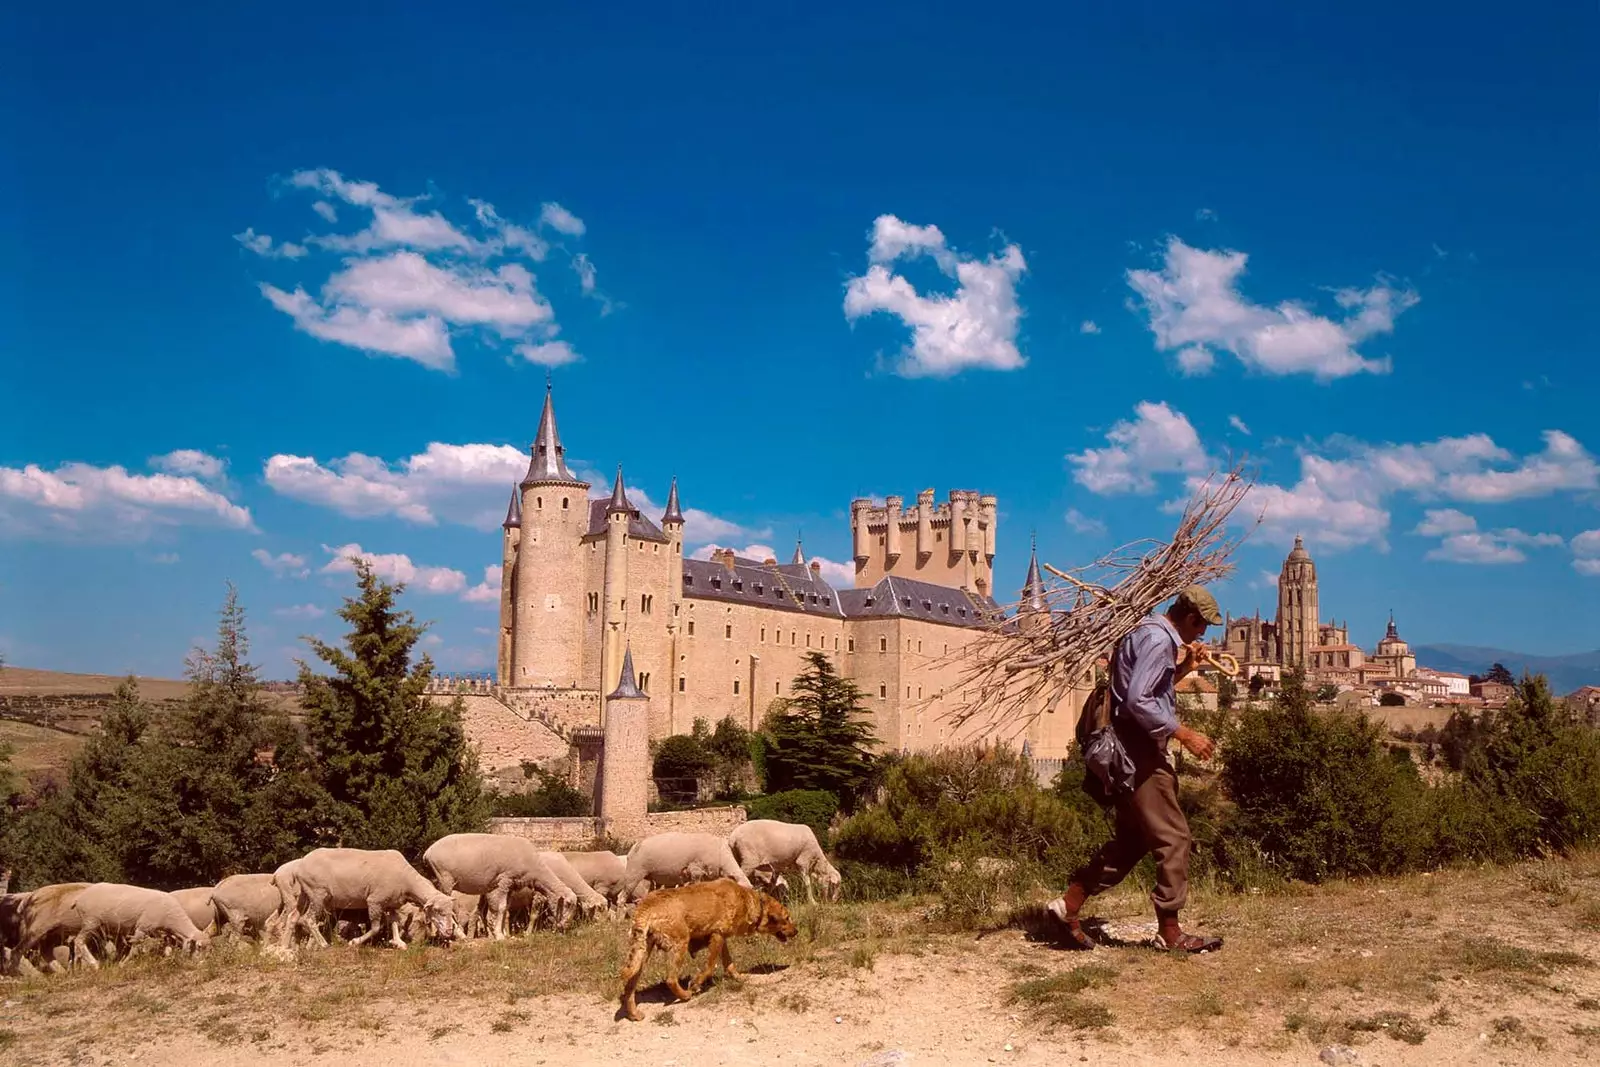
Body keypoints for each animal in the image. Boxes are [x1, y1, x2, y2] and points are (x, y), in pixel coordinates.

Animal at [68, 883, 208, 966]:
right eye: (199, 947)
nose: (201, 962)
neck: (173, 918)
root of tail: (79, 898)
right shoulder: (143, 927)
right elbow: (135, 947)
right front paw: (123, 963)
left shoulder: (160, 931)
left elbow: (167, 944)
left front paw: (168, 957)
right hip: (91, 922)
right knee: (79, 941)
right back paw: (94, 964)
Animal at [281, 851, 454, 953]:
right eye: (437, 910)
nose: (449, 932)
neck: (407, 882)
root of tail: (299, 867)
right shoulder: (375, 901)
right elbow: (376, 927)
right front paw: (355, 942)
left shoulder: (390, 903)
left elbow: (394, 923)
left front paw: (398, 942)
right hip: (318, 894)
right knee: (308, 919)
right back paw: (323, 944)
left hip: (305, 894)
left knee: (292, 917)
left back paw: (285, 947)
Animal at [422, 831, 579, 940]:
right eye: (568, 904)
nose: (565, 927)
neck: (535, 871)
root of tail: (428, 851)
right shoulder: (504, 880)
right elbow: (501, 907)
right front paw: (499, 935)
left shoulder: (511, 885)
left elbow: (506, 908)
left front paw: (502, 933)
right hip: (445, 878)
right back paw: (450, 934)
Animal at [617, 831, 755, 902]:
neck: (722, 857)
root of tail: (635, 846)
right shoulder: (695, 871)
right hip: (634, 874)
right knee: (621, 898)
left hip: (651, 878)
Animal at [624, 883, 800, 1023]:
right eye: (787, 918)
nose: (797, 931)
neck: (748, 902)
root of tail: (646, 905)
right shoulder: (716, 936)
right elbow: (709, 967)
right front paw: (696, 984)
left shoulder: (722, 939)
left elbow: (729, 964)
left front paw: (739, 978)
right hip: (680, 944)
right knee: (671, 979)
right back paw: (685, 995)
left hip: (641, 955)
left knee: (629, 987)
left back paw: (633, 1014)